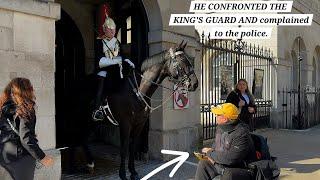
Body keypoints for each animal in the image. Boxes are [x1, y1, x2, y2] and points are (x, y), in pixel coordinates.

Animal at [82, 41, 198, 179]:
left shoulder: (139, 124)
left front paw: (133, 172)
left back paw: (89, 163)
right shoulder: (125, 124)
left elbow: (132, 147)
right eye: (182, 61)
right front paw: (123, 174)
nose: (195, 83)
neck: (138, 91)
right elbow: (124, 148)